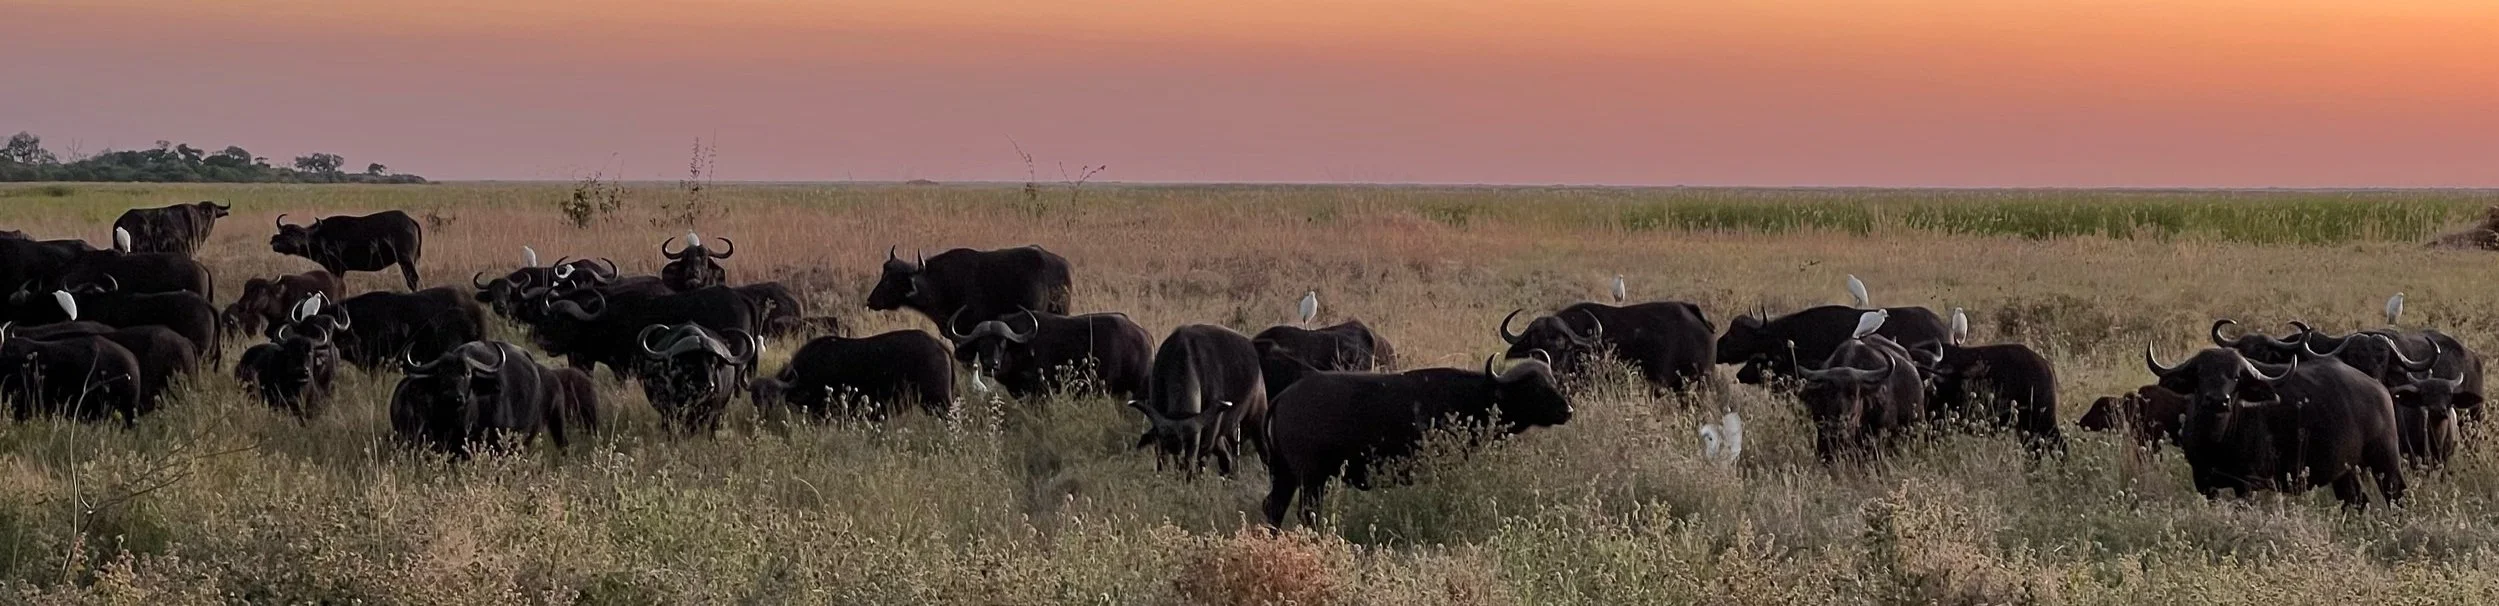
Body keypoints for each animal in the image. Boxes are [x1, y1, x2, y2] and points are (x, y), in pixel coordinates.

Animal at [270, 211, 425, 290]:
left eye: (298, 235)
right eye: (284, 233)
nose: (276, 243)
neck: (321, 237)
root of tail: (409, 220)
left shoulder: (337, 268)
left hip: (405, 260)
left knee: (413, 279)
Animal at [1129, 325, 1269, 477]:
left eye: (1193, 444)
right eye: (1168, 443)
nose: (1184, 468)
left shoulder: (1208, 433)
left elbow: (1202, 460)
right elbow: (1161, 459)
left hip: (1257, 418)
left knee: (1263, 453)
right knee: (1227, 456)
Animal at [1261, 358, 1571, 528]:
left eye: (1553, 381)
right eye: (1535, 387)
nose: (1567, 410)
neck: (1473, 398)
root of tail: (1284, 397)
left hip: (1287, 475)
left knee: (1273, 507)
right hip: (1311, 478)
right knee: (1307, 513)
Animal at [2145, 346, 2405, 508]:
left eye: (2237, 377)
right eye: (2200, 373)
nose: (2218, 400)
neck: (2217, 441)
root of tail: (2380, 390)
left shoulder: (2246, 485)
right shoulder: (2203, 482)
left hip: (2384, 460)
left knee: (2396, 494)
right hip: (2345, 470)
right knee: (2356, 500)